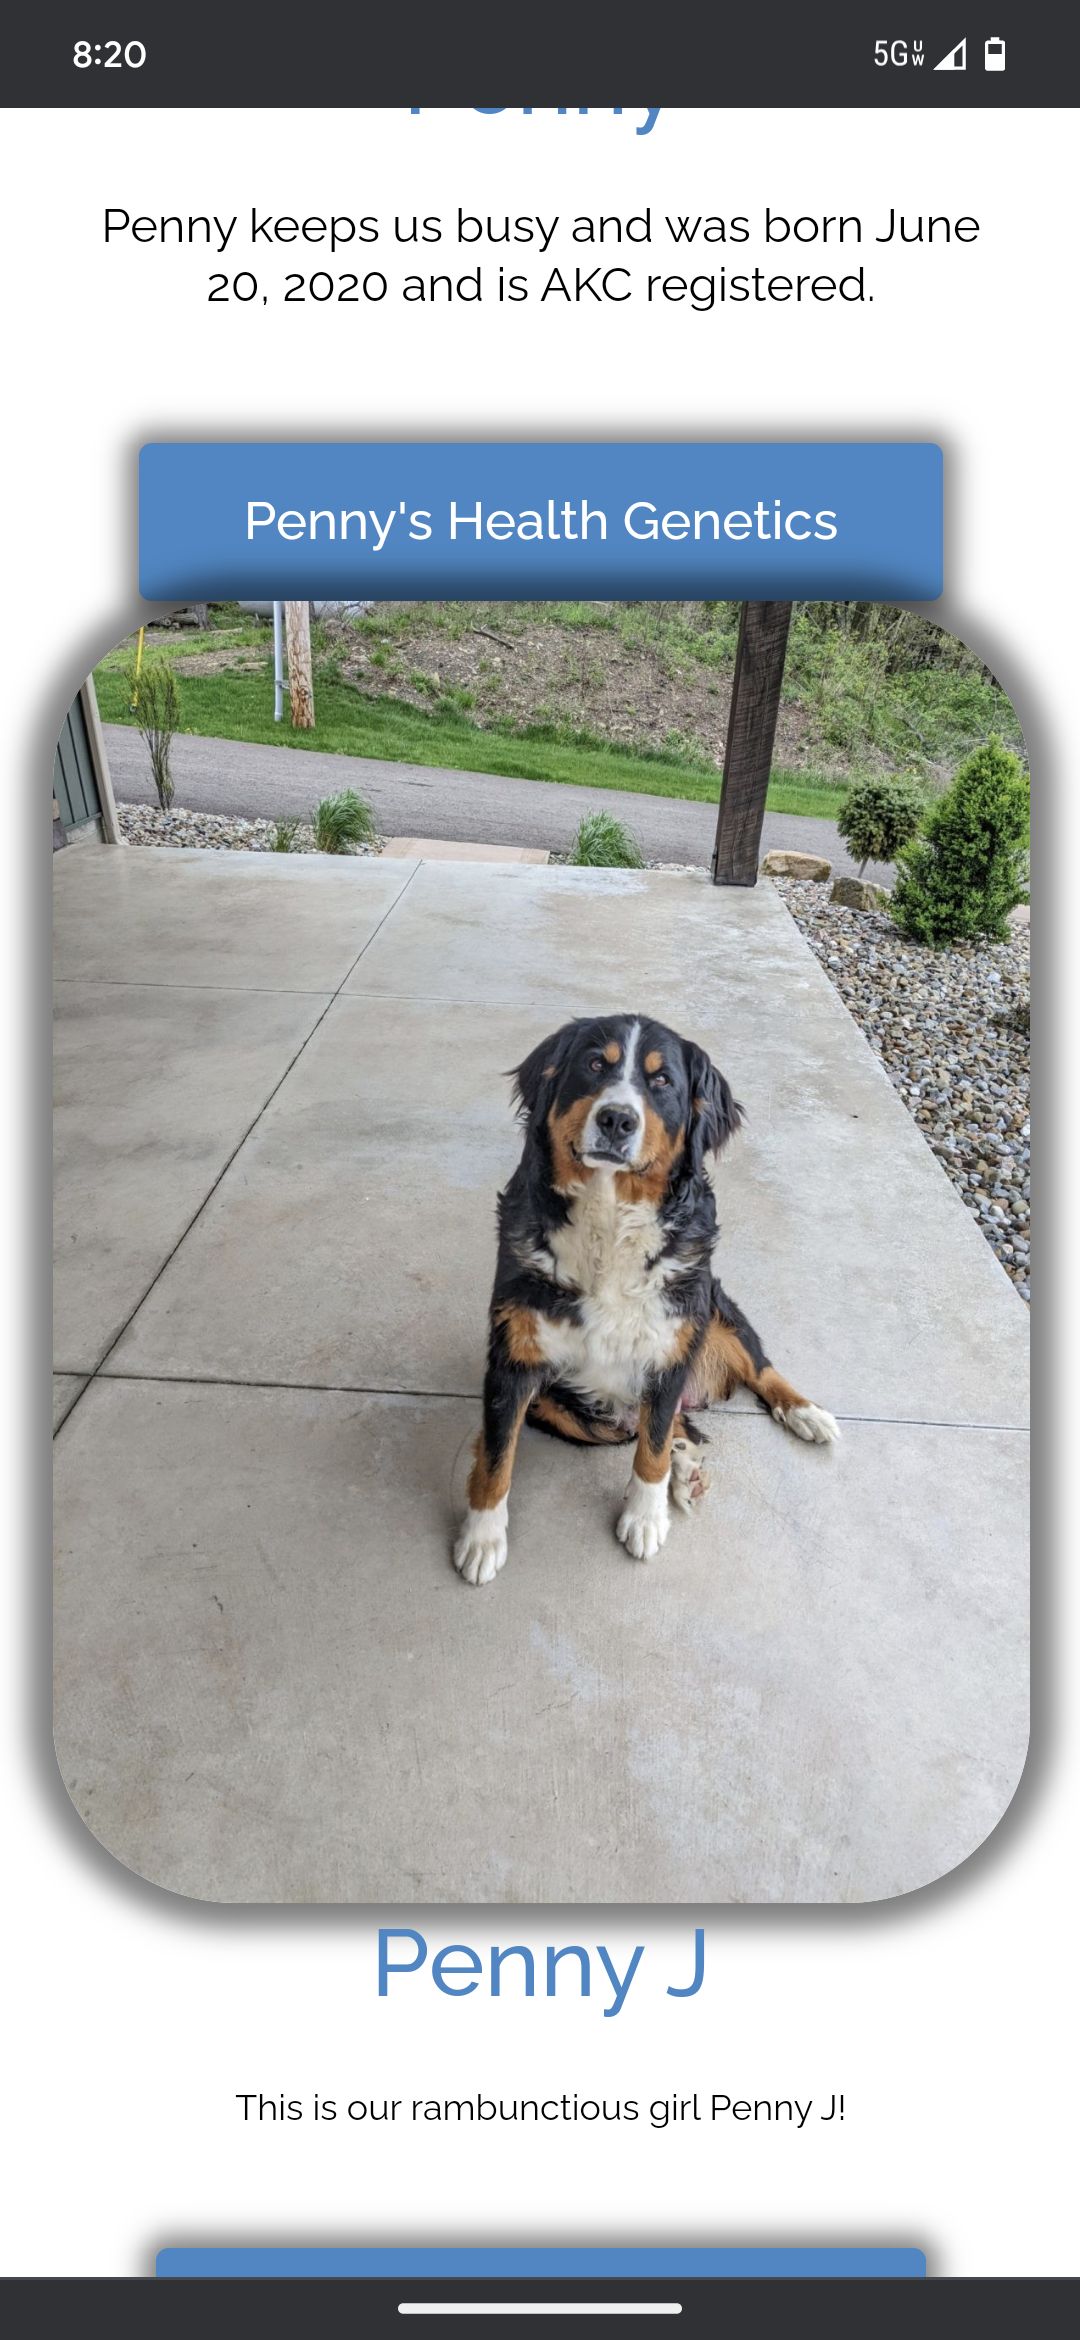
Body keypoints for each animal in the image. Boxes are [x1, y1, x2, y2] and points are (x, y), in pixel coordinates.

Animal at [453, 1014, 839, 1587]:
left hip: (714, 1308)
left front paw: (644, 1518)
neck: (610, 1218)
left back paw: (804, 1414)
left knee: (752, 1372)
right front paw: (482, 1537)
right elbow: (496, 1458)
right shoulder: (514, 1357)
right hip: (563, 1408)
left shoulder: (672, 1346)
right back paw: (687, 1468)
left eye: (662, 1081)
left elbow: (650, 1452)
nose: (617, 1119)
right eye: (595, 1064)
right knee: (663, 1424)